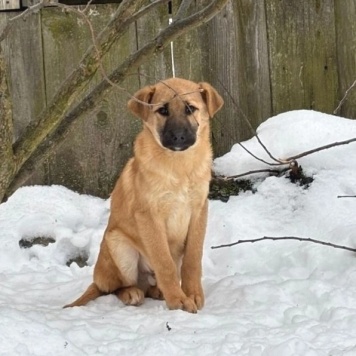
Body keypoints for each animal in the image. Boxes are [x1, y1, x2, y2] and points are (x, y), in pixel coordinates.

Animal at [64, 77, 222, 312]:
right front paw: (177, 300)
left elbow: (193, 260)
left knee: (148, 285)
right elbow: (164, 263)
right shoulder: (150, 216)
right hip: (119, 245)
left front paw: (192, 294)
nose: (178, 137)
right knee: (115, 287)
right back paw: (133, 293)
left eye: (190, 109)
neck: (179, 167)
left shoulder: (198, 211)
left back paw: (158, 291)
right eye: (163, 110)